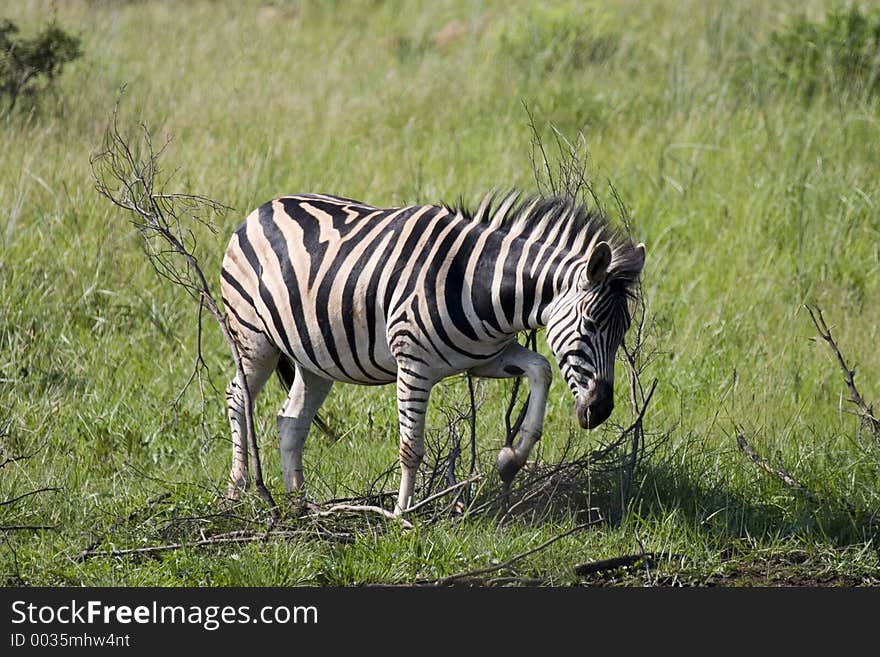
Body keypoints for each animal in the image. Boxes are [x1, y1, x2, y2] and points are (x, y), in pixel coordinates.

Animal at [220, 192, 648, 516]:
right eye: (589, 325)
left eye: (622, 333)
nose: (600, 410)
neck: (479, 283)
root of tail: (265, 206)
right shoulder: (413, 365)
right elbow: (411, 447)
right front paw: (401, 516)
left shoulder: (487, 358)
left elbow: (541, 369)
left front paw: (511, 459)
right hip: (254, 338)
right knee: (237, 398)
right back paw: (237, 490)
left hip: (315, 358)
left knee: (291, 421)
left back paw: (300, 504)